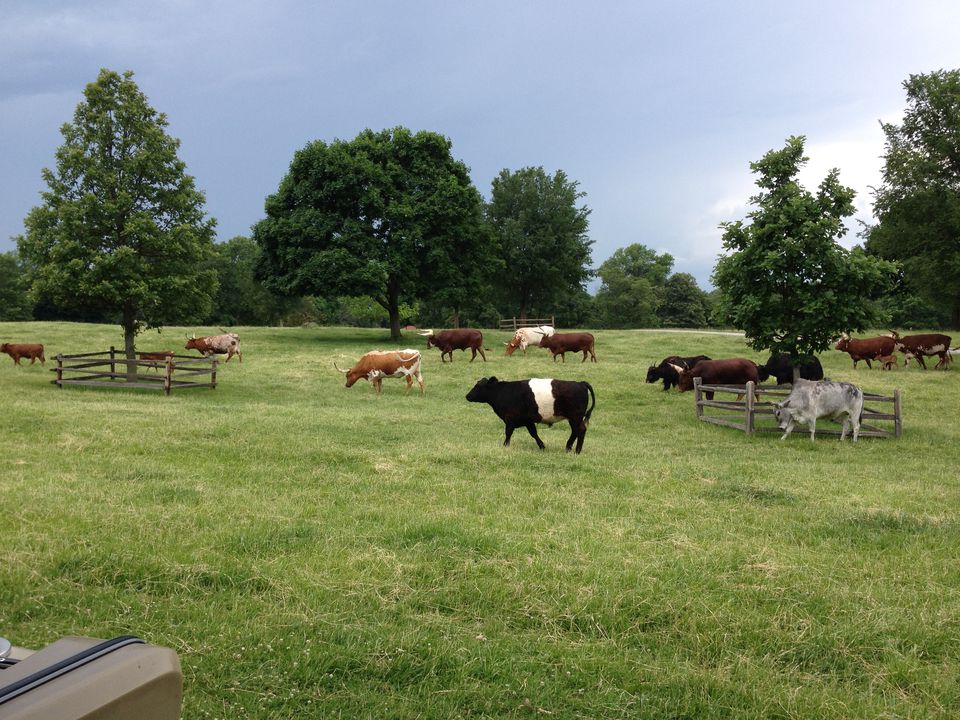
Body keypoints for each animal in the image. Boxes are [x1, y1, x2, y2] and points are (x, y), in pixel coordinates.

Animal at [464, 374, 592, 452]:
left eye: (478, 386)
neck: (503, 392)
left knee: (579, 430)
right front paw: (542, 446)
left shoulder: (510, 419)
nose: (467, 396)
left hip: (575, 417)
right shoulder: (528, 421)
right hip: (575, 418)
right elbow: (534, 433)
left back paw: (574, 449)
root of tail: (580, 383)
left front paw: (505, 446)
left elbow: (508, 433)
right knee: (577, 431)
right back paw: (571, 448)